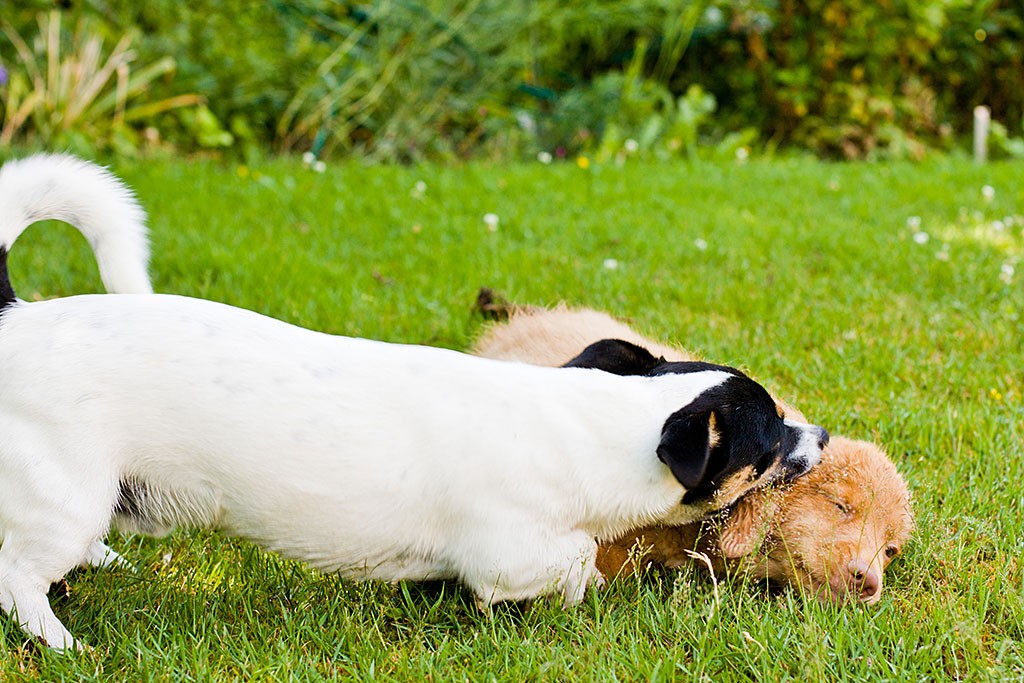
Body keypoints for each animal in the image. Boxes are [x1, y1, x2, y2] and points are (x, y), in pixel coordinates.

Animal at [0, 154, 827, 651]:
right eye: (771, 436)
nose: (823, 433)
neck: (586, 423)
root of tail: (15, 318)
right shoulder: (510, 549)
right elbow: (574, 561)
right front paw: (579, 589)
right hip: (65, 494)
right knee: (16, 578)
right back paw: (63, 641)